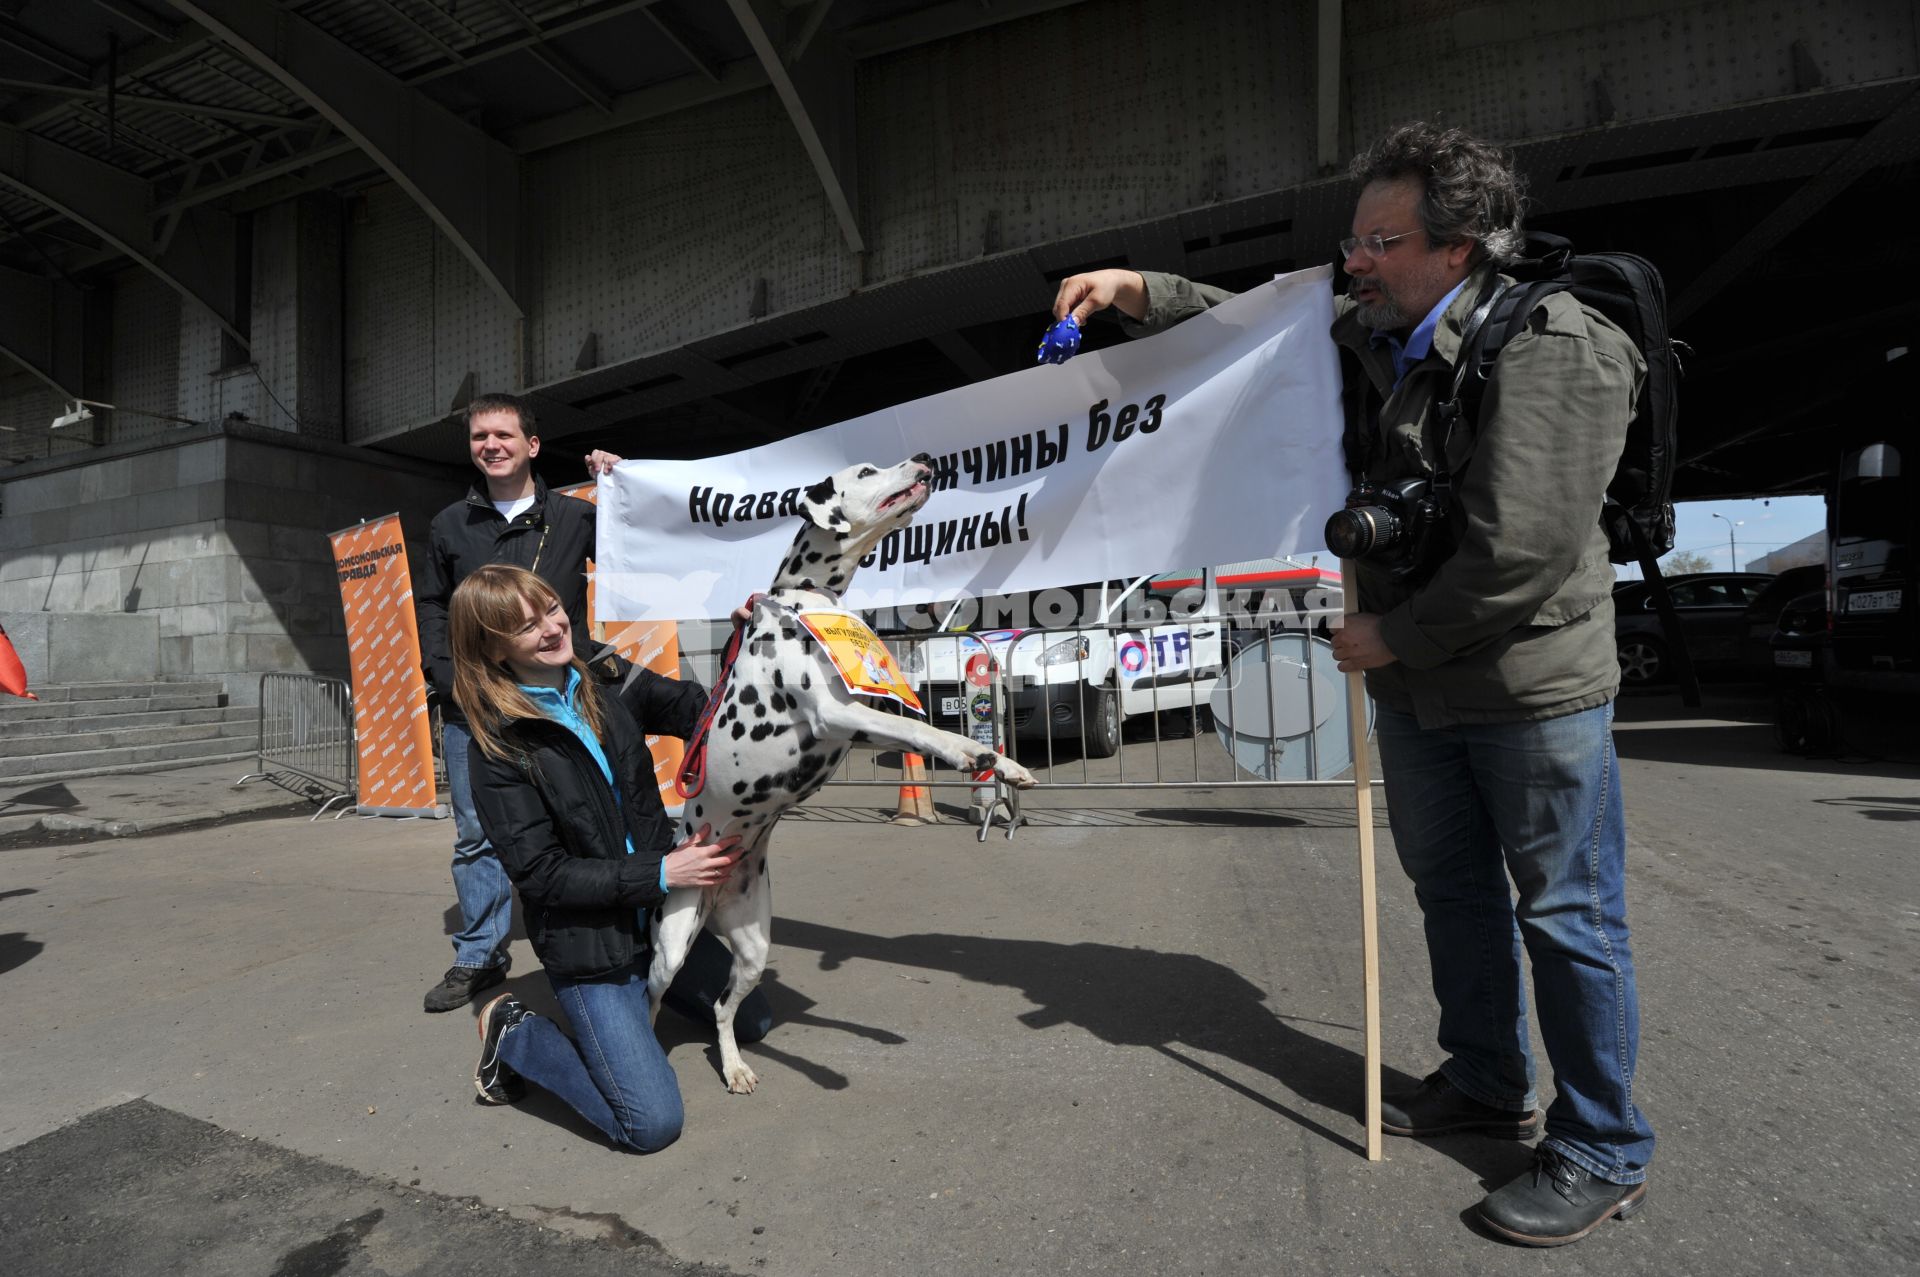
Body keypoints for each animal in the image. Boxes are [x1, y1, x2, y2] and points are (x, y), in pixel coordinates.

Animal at [645, 453, 1036, 1090]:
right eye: (867, 470)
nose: (926, 458)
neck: (804, 597)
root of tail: (713, 891)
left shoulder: (864, 711)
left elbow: (922, 724)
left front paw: (1001, 761)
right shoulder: (836, 713)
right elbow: (927, 734)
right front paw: (973, 755)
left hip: (752, 947)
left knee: (724, 1009)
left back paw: (736, 1067)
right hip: (672, 942)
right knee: (649, 1001)